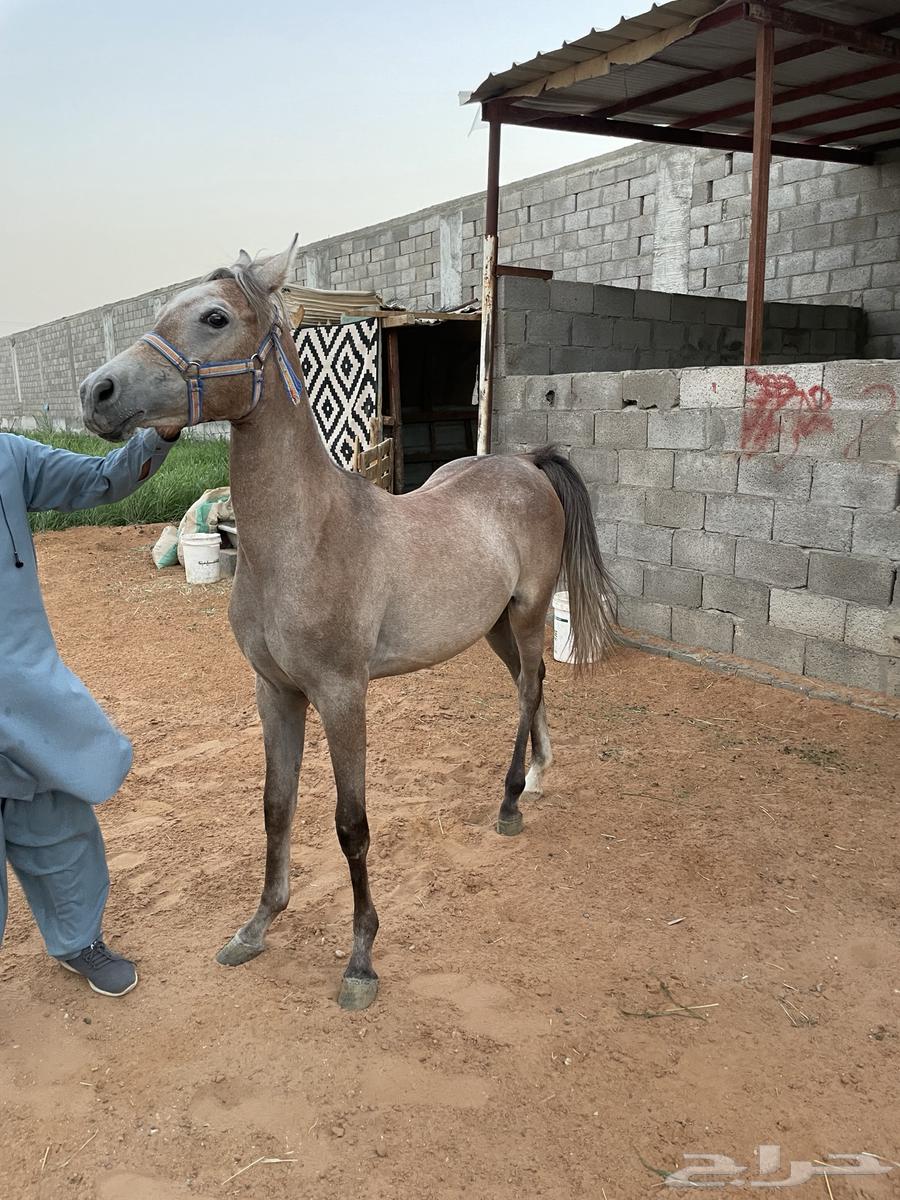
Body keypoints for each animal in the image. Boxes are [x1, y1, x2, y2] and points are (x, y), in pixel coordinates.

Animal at [79, 238, 617, 1010]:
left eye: (214, 317)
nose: (97, 393)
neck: (305, 539)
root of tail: (528, 465)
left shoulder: (341, 695)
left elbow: (351, 825)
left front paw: (361, 959)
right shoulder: (275, 692)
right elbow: (276, 806)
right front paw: (256, 926)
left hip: (529, 610)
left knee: (527, 690)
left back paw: (512, 801)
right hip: (492, 627)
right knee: (533, 684)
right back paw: (539, 774)